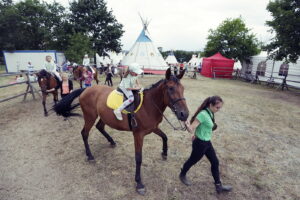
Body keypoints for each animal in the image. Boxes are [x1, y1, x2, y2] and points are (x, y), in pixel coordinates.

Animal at [53, 68, 189, 195]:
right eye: (171, 88)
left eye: (183, 88)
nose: (184, 114)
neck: (148, 105)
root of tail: (86, 90)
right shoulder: (138, 134)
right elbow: (138, 158)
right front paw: (139, 183)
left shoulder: (153, 128)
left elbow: (165, 137)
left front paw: (165, 153)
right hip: (90, 117)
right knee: (84, 133)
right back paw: (90, 155)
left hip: (104, 117)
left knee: (100, 127)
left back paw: (111, 141)